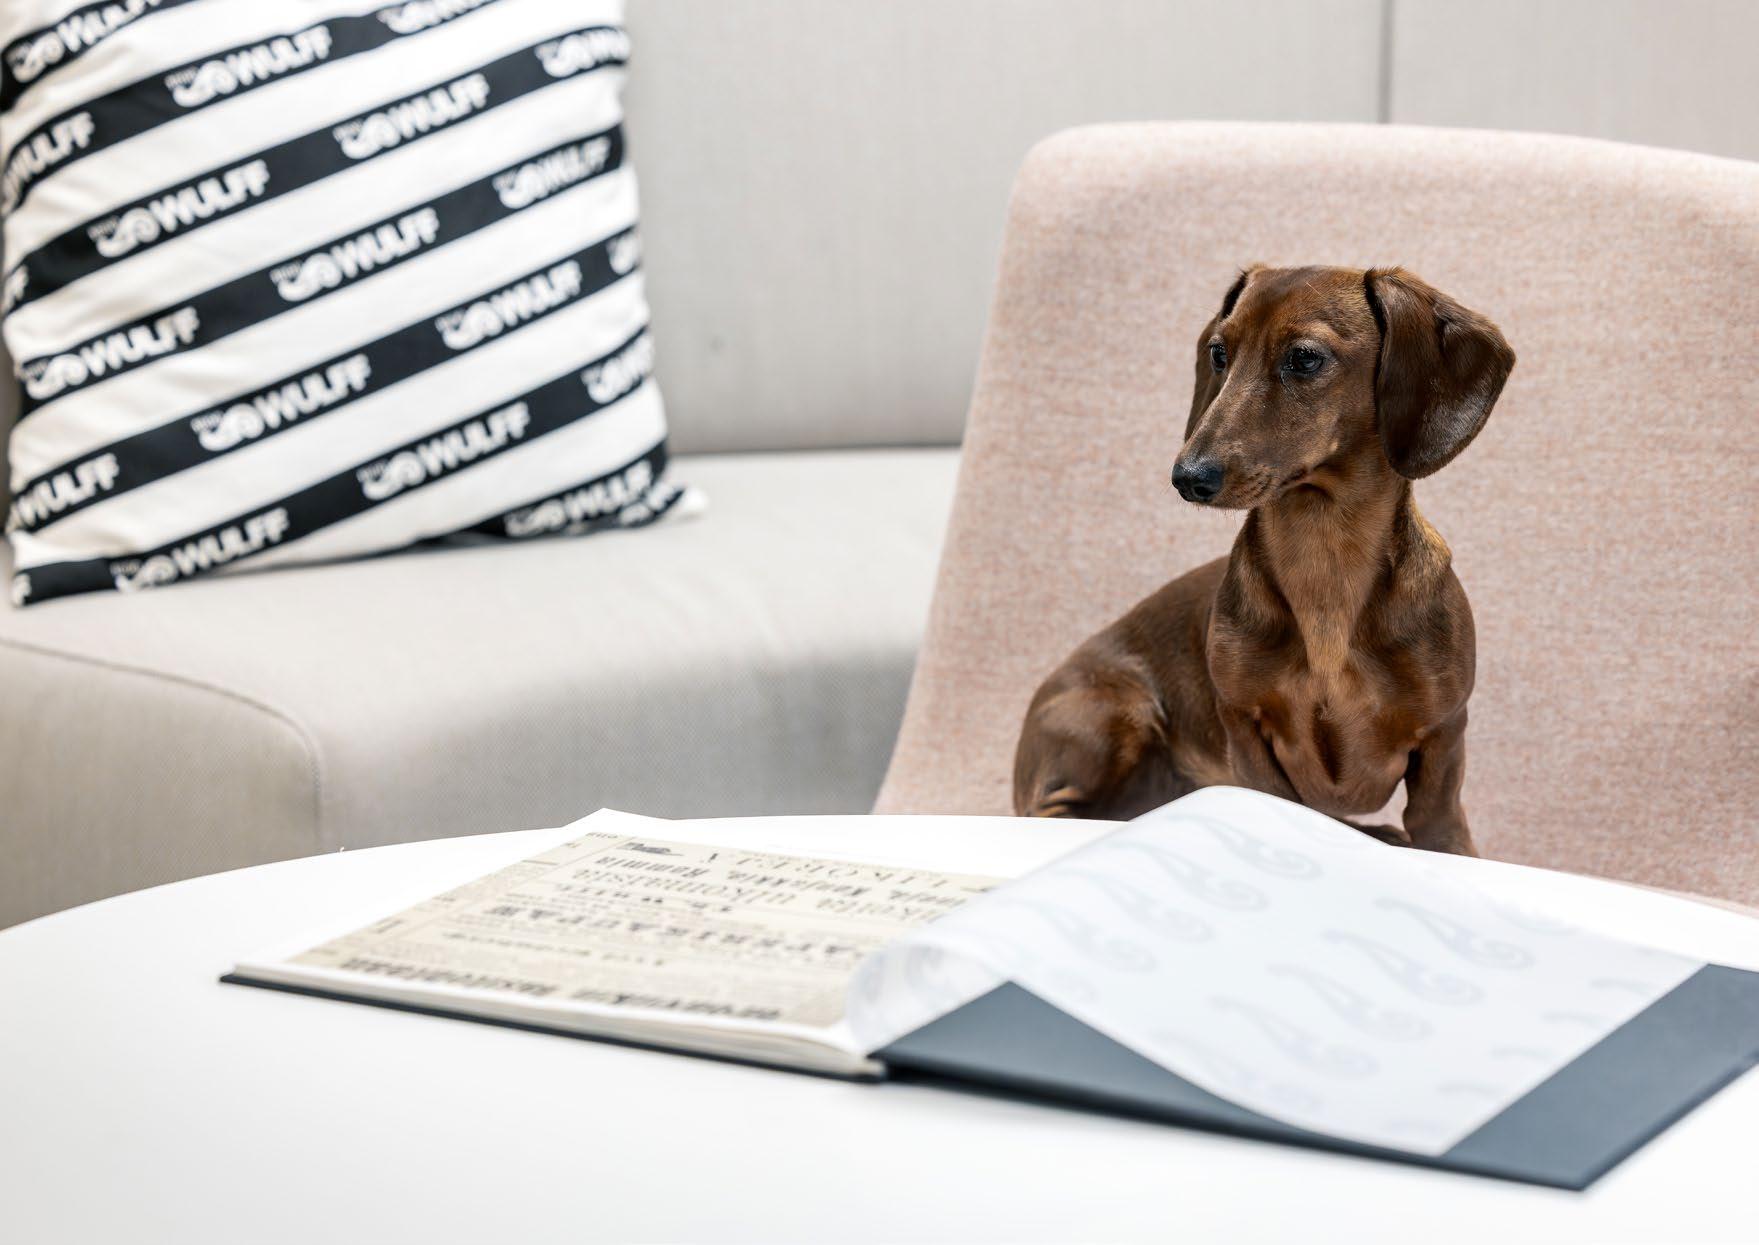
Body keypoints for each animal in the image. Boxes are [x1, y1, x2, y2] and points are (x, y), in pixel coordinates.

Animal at [1012, 265, 1515, 854]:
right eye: (1218, 352)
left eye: (1304, 358)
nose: (1187, 476)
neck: (1325, 565)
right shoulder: (1246, 729)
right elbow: (1279, 803)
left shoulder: (1443, 734)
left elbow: (1437, 825)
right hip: (1120, 715)